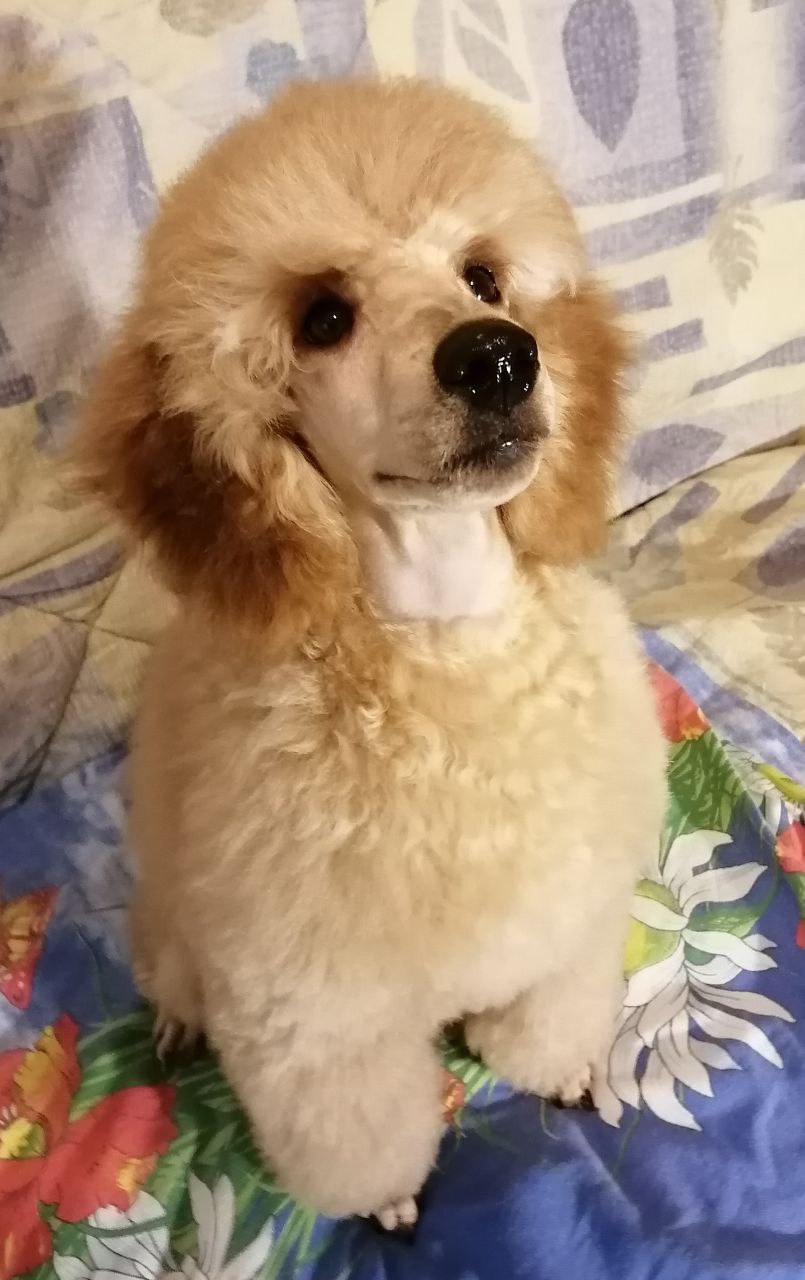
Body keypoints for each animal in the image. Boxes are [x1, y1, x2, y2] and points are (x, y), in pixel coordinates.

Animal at [75, 78, 666, 1229]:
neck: (441, 646)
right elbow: (360, 1132)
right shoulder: (317, 1022)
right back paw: (174, 1023)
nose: (496, 356)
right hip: (170, 918)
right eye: (323, 318)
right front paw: (389, 1200)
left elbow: (549, 1016)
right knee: (167, 967)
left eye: (482, 275)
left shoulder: (567, 924)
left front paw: (563, 1069)